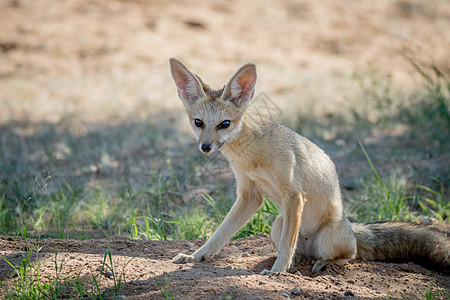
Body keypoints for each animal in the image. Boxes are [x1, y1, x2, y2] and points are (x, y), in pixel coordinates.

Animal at [170, 57, 450, 276]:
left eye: (224, 124)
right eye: (198, 122)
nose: (206, 147)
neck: (251, 155)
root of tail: (350, 226)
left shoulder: (294, 195)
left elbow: (285, 245)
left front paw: (277, 272)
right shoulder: (250, 196)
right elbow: (219, 235)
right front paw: (197, 256)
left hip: (325, 236)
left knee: (347, 256)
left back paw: (322, 264)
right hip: (278, 224)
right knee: (298, 248)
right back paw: (299, 261)